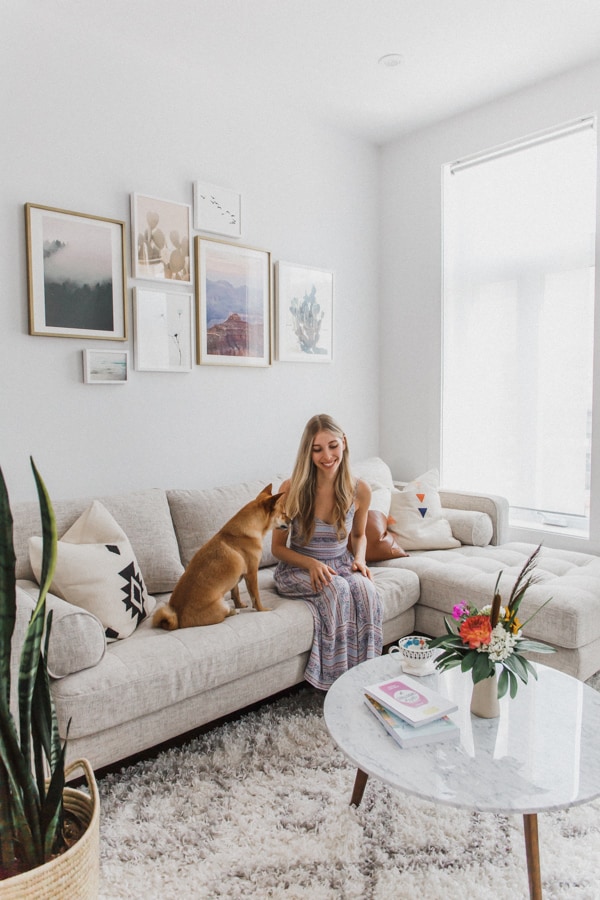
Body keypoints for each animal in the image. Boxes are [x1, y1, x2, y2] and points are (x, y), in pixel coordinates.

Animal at [152, 486, 288, 624]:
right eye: (283, 514)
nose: (291, 520)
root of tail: (178, 618)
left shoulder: (236, 578)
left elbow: (236, 592)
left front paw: (239, 604)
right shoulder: (251, 574)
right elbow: (255, 596)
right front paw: (262, 609)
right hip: (221, 604)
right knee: (224, 613)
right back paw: (233, 611)